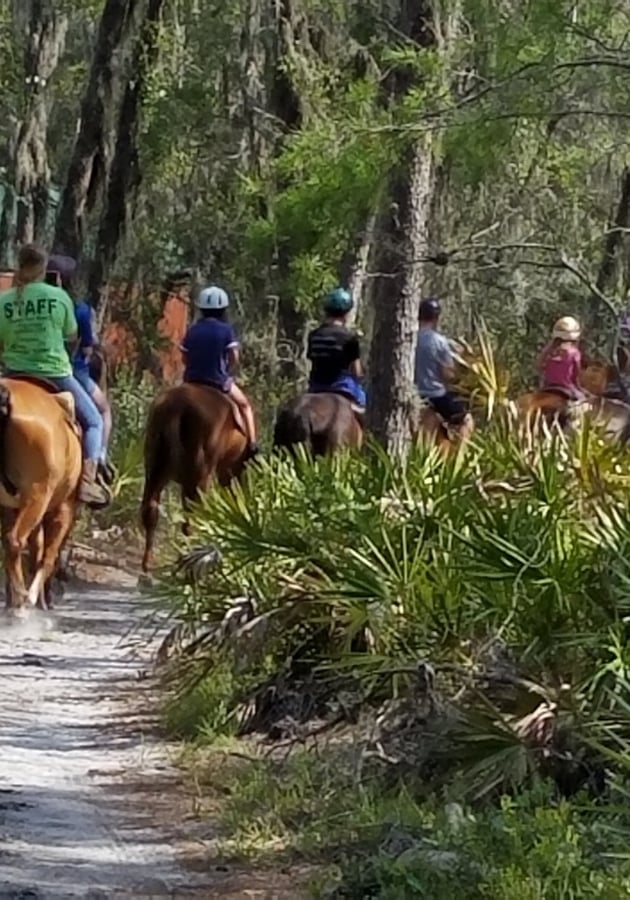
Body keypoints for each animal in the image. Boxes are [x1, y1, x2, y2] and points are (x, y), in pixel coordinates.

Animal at [0, 376, 82, 608]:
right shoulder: (63, 509)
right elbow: (48, 556)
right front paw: (35, 598)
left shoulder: (9, 508)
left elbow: (35, 551)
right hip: (38, 495)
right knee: (15, 541)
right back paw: (23, 600)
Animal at [142, 384, 253, 568]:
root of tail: (176, 406)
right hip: (198, 479)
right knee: (190, 521)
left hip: (156, 472)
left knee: (150, 510)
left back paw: (148, 565)